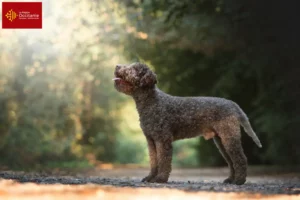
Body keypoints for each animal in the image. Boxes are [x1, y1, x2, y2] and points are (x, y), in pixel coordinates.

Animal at [113, 62, 262, 184]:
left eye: (133, 69)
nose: (117, 66)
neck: (152, 102)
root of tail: (233, 105)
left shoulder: (163, 139)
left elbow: (163, 161)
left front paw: (160, 179)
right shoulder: (151, 140)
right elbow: (154, 161)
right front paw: (150, 178)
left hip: (229, 137)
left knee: (240, 159)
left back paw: (239, 181)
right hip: (221, 141)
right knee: (231, 162)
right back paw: (230, 180)